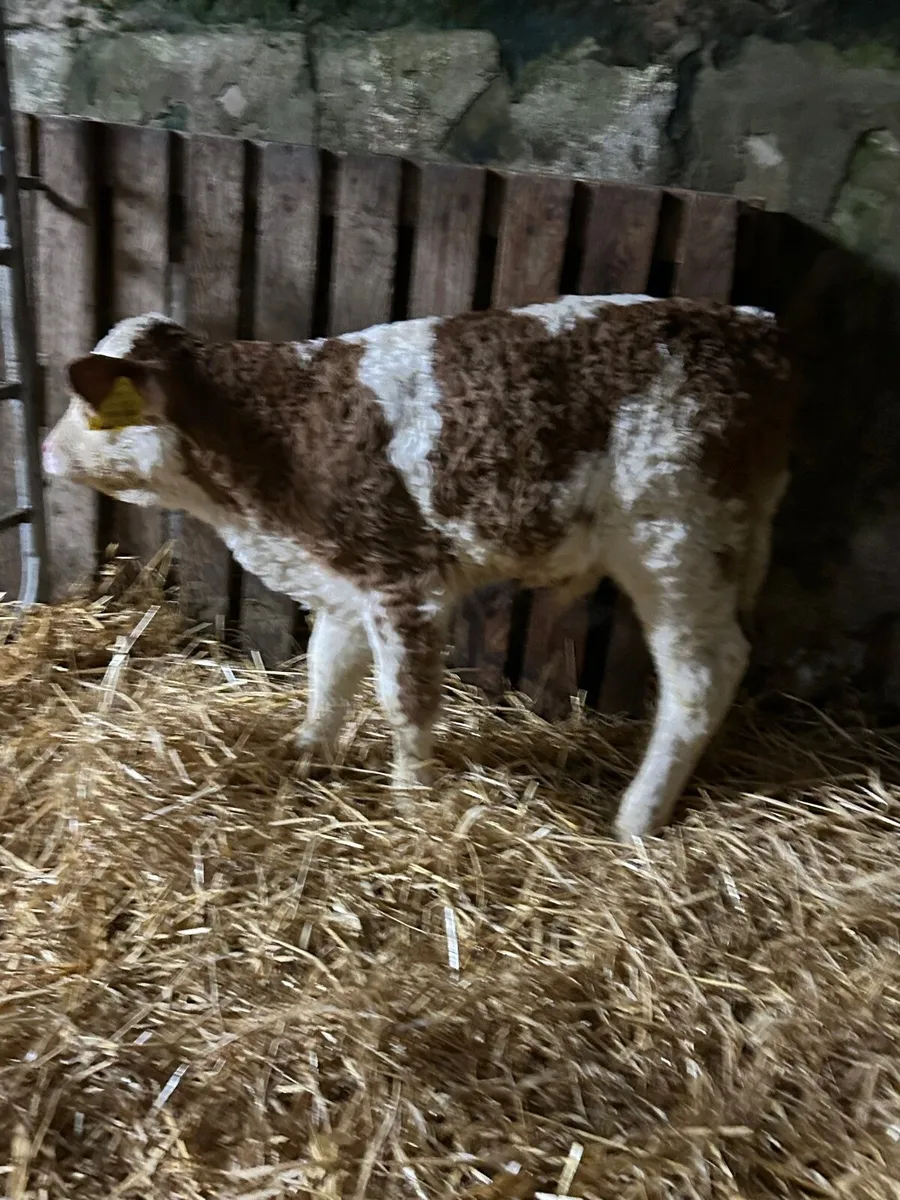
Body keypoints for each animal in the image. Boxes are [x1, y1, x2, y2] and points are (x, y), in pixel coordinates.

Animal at [41, 294, 794, 839]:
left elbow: (404, 699)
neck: (279, 431)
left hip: (675, 543)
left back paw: (637, 817)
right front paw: (307, 750)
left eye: (88, 404)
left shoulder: (400, 576)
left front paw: (410, 802)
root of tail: (749, 326)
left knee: (702, 675)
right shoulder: (341, 576)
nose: (46, 451)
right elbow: (328, 671)